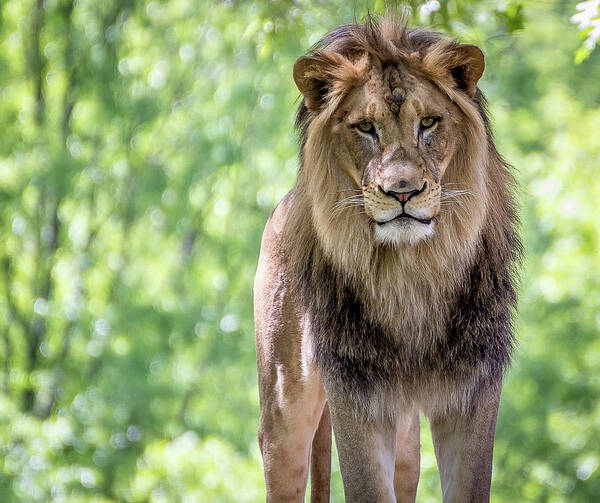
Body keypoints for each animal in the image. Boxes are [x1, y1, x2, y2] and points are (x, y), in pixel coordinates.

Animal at [253, 13, 520, 502]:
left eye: (429, 122)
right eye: (364, 127)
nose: (402, 192)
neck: (411, 273)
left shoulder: (474, 386)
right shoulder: (355, 392)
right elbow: (366, 488)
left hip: (406, 441)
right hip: (283, 413)